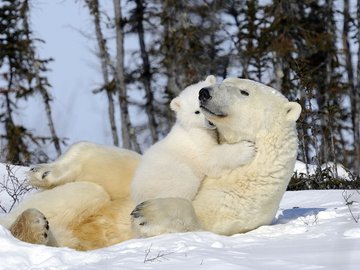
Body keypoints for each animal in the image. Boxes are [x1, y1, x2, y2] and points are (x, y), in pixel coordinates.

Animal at [2, 77, 300, 250]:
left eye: (244, 91)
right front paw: (42, 172)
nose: (205, 93)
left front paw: (146, 213)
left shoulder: (243, 200)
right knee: (87, 192)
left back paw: (34, 227)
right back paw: (33, 221)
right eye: (224, 79)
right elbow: (115, 168)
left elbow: (202, 219)